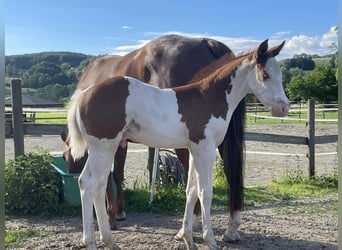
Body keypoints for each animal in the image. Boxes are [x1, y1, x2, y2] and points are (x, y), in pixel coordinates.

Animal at [67, 40, 288, 249]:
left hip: (107, 148)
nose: (283, 107)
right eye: (265, 75)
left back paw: (109, 241)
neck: (210, 97)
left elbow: (191, 191)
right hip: (103, 148)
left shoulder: (194, 150)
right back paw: (91, 242)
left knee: (97, 185)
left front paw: (188, 238)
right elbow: (205, 192)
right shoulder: (205, 150)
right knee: (88, 184)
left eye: (280, 75)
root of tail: (83, 95)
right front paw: (209, 240)